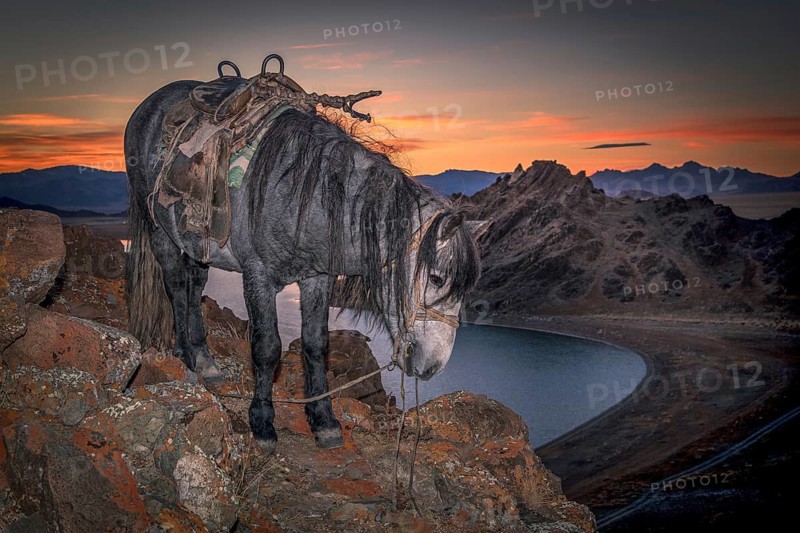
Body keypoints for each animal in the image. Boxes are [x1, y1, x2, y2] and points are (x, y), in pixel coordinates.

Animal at [124, 80, 486, 452]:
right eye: (437, 278)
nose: (433, 367)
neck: (303, 197)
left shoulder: (318, 278)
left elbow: (316, 345)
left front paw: (324, 421)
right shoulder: (258, 276)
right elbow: (267, 348)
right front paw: (263, 422)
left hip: (199, 247)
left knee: (194, 287)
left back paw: (203, 358)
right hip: (160, 232)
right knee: (176, 287)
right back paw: (184, 352)